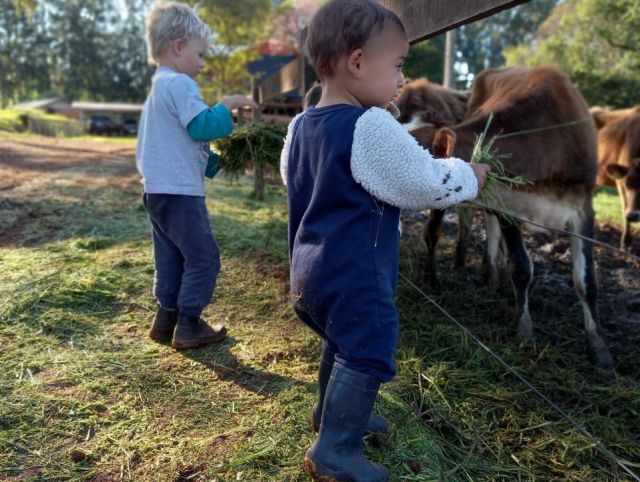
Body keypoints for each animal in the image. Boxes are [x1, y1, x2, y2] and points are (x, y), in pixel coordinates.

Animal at [398, 66, 612, 370]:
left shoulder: (584, 208)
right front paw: (524, 329)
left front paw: (598, 346)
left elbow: (587, 281)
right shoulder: (508, 205)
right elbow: (520, 266)